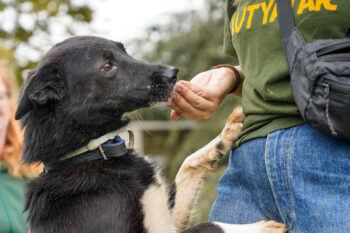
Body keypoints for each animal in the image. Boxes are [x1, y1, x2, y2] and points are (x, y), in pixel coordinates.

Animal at [15, 36, 286, 233]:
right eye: (107, 66)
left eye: (124, 51)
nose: (174, 73)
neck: (93, 152)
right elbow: (209, 226)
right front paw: (261, 227)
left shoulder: (168, 216)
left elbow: (187, 165)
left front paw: (227, 133)